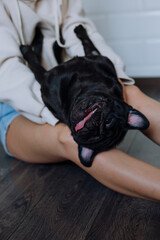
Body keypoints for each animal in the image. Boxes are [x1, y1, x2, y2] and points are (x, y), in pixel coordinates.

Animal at [19, 24, 149, 167]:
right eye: (108, 121)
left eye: (96, 135)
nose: (98, 121)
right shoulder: (99, 58)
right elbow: (89, 45)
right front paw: (80, 30)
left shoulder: (46, 78)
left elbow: (33, 63)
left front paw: (26, 51)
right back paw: (52, 42)